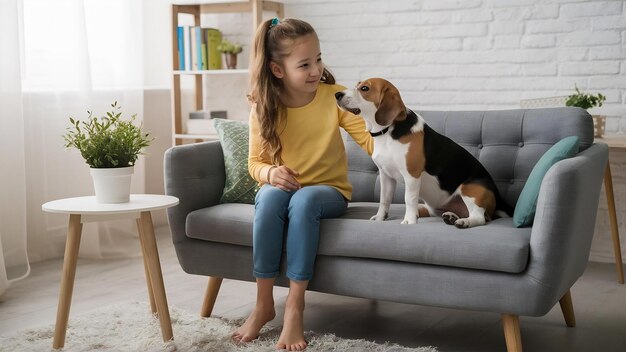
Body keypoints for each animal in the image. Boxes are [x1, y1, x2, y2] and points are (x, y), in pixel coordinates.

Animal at [334, 78, 510, 228]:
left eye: (365, 88)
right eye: (357, 85)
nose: (337, 94)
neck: (387, 132)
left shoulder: (411, 175)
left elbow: (409, 199)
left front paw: (409, 221)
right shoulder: (386, 175)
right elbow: (384, 199)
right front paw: (379, 218)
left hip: (470, 189)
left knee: (480, 217)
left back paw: (463, 222)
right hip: (434, 207)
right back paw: (451, 217)